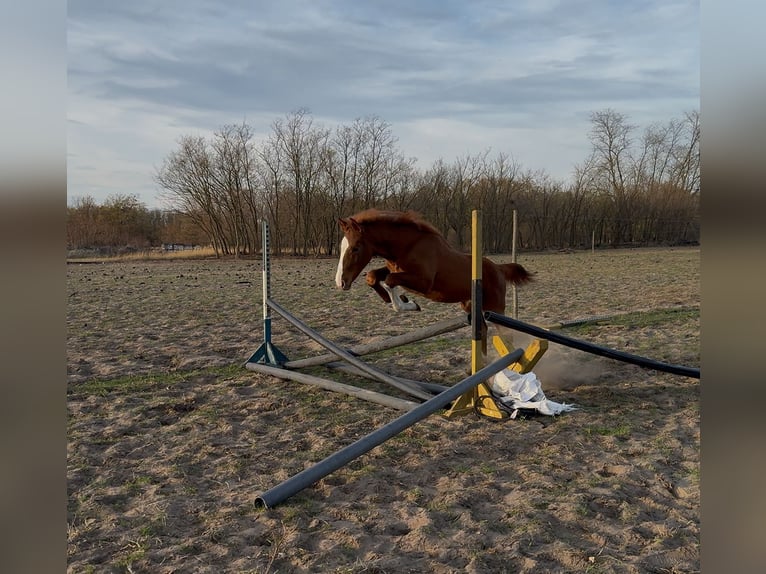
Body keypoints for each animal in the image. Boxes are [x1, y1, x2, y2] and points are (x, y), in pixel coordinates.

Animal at [334, 209, 532, 313]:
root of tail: (499, 269)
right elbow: (373, 276)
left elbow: (389, 281)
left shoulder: (424, 282)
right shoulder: (395, 269)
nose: (340, 282)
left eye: (355, 248)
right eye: (341, 247)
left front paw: (409, 304)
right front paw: (392, 299)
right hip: (469, 305)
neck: (408, 246)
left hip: (495, 308)